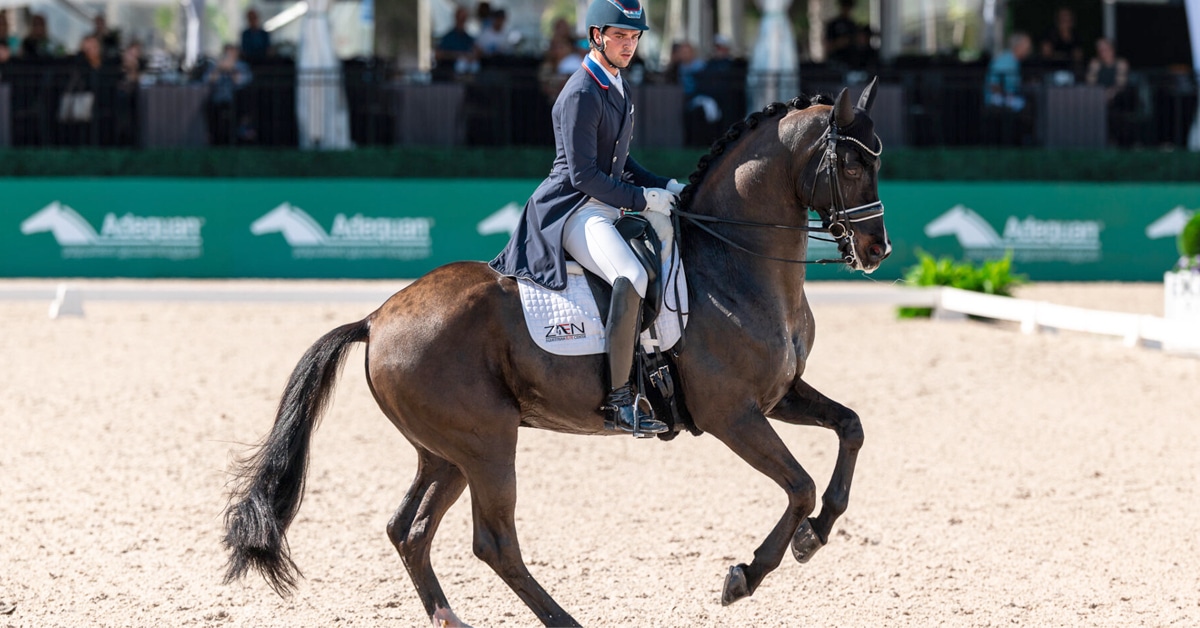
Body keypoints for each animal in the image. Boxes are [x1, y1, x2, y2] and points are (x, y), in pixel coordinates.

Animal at [223, 80, 890, 627]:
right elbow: (799, 484)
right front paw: (745, 576)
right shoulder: (733, 415)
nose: (876, 248)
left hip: (445, 453)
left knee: (408, 530)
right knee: (494, 542)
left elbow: (852, 429)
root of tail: (377, 317)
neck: (732, 264)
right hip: (486, 443)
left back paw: (450, 619)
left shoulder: (777, 397)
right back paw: (562, 621)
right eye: (851, 162)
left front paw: (814, 536)